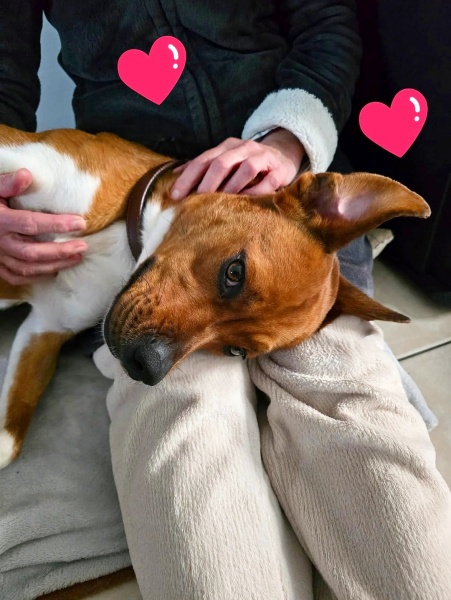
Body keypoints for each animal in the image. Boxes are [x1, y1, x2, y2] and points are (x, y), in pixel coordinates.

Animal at [0, 124, 430, 468]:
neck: (122, 247)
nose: (145, 367)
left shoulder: (44, 327)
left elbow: (9, 441)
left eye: (235, 351)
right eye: (234, 273)